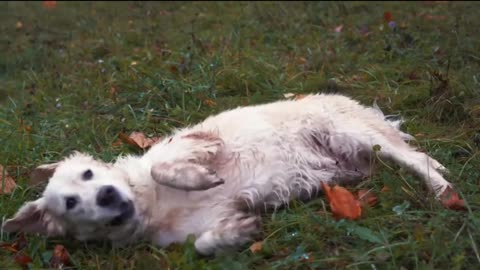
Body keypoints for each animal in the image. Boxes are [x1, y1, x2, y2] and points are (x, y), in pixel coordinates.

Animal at [4, 94, 454, 255]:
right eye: (71, 203)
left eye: (88, 174)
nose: (107, 197)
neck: (151, 205)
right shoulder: (198, 226)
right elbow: (203, 243)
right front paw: (235, 234)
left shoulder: (199, 142)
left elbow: (163, 165)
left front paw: (197, 178)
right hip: (360, 159)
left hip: (355, 133)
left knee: (421, 159)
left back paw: (444, 192)